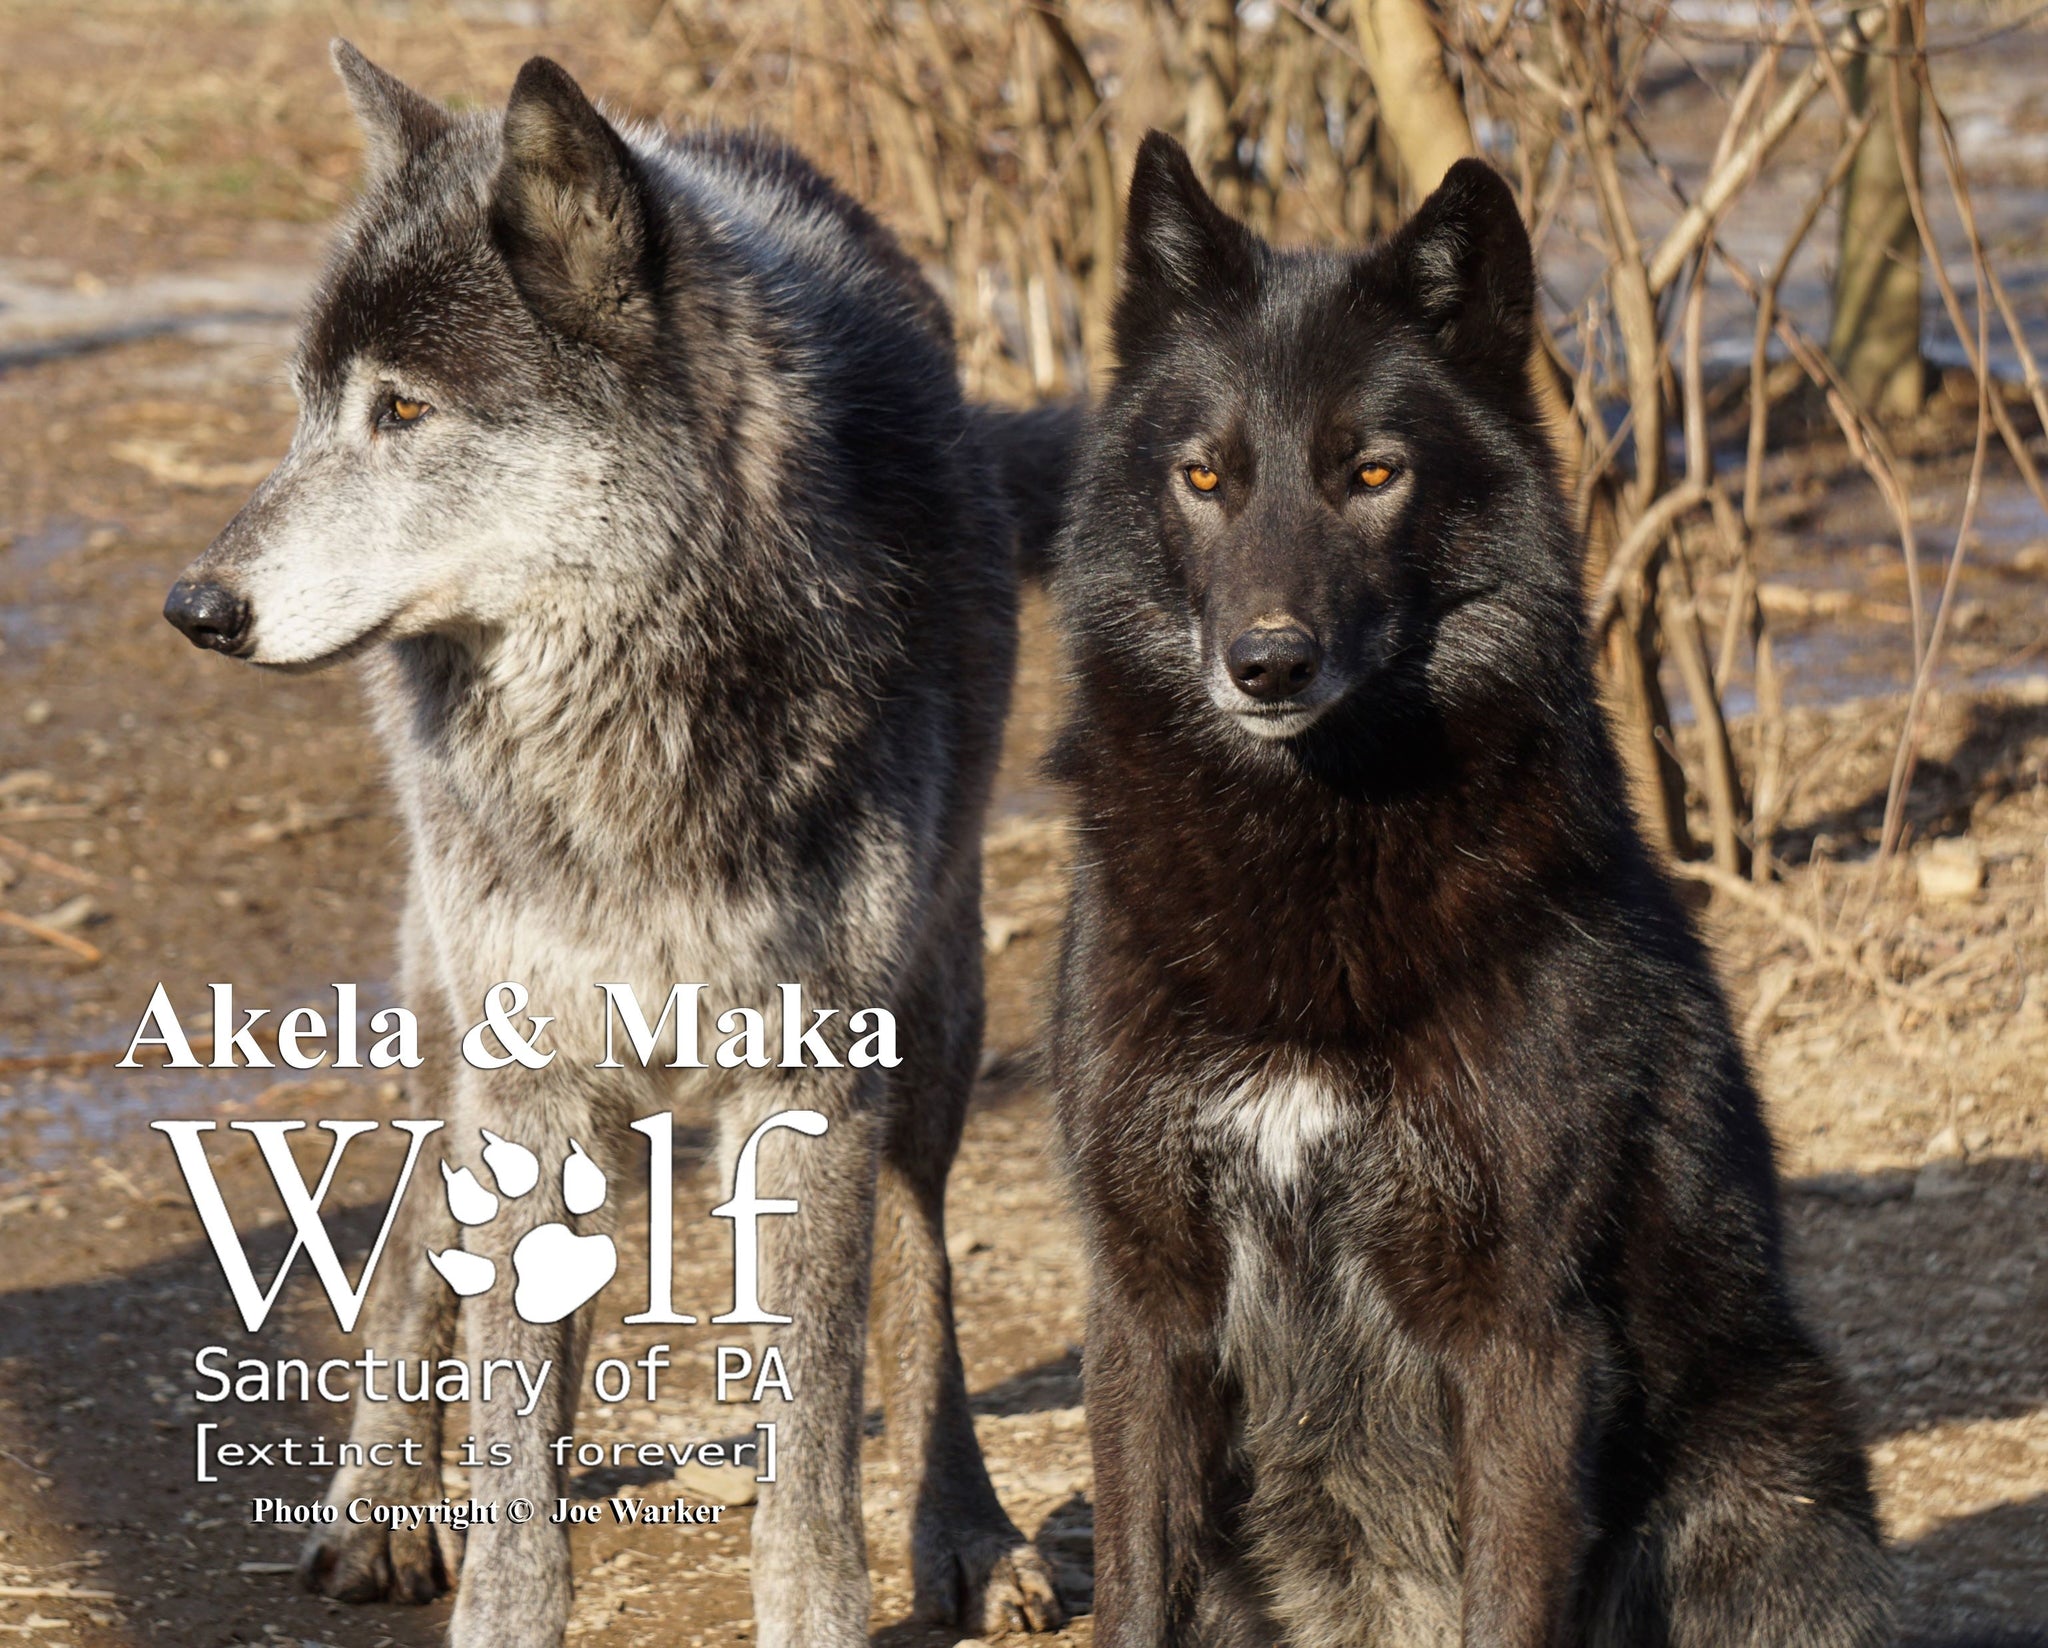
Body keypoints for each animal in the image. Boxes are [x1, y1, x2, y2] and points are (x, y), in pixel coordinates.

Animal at [162, 45, 1068, 1648]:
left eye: (404, 412)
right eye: (307, 409)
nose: (195, 606)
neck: (628, 729)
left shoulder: (811, 1074)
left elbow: (815, 1429)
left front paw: (828, 1603)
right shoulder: (526, 1070)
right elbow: (511, 1413)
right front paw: (496, 1592)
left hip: (937, 1014)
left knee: (920, 1265)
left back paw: (968, 1533)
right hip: (454, 1016)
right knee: (420, 1245)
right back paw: (382, 1503)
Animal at [1047, 134, 1894, 1648]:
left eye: (1373, 471)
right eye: (1204, 477)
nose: (1264, 663)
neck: (1309, 863)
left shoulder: (1517, 1331)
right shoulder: (1144, 1306)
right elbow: (1132, 1595)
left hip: (1759, 1482)